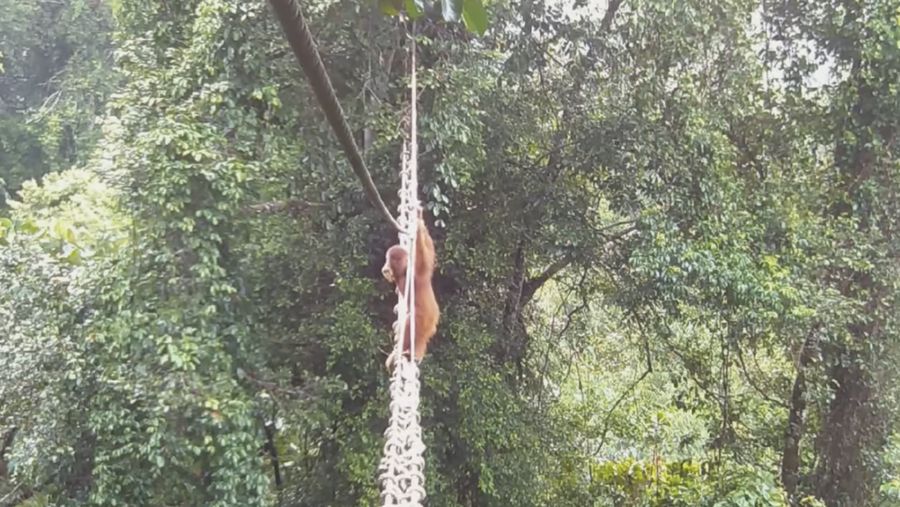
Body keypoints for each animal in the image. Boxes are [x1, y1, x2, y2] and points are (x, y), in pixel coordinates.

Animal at [382, 215, 439, 370]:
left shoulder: (416, 273)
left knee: (410, 325)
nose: (385, 267)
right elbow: (430, 251)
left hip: (424, 320)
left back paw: (400, 353)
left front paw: (417, 226)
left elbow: (424, 257)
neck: (403, 273)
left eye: (390, 259)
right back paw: (415, 355)